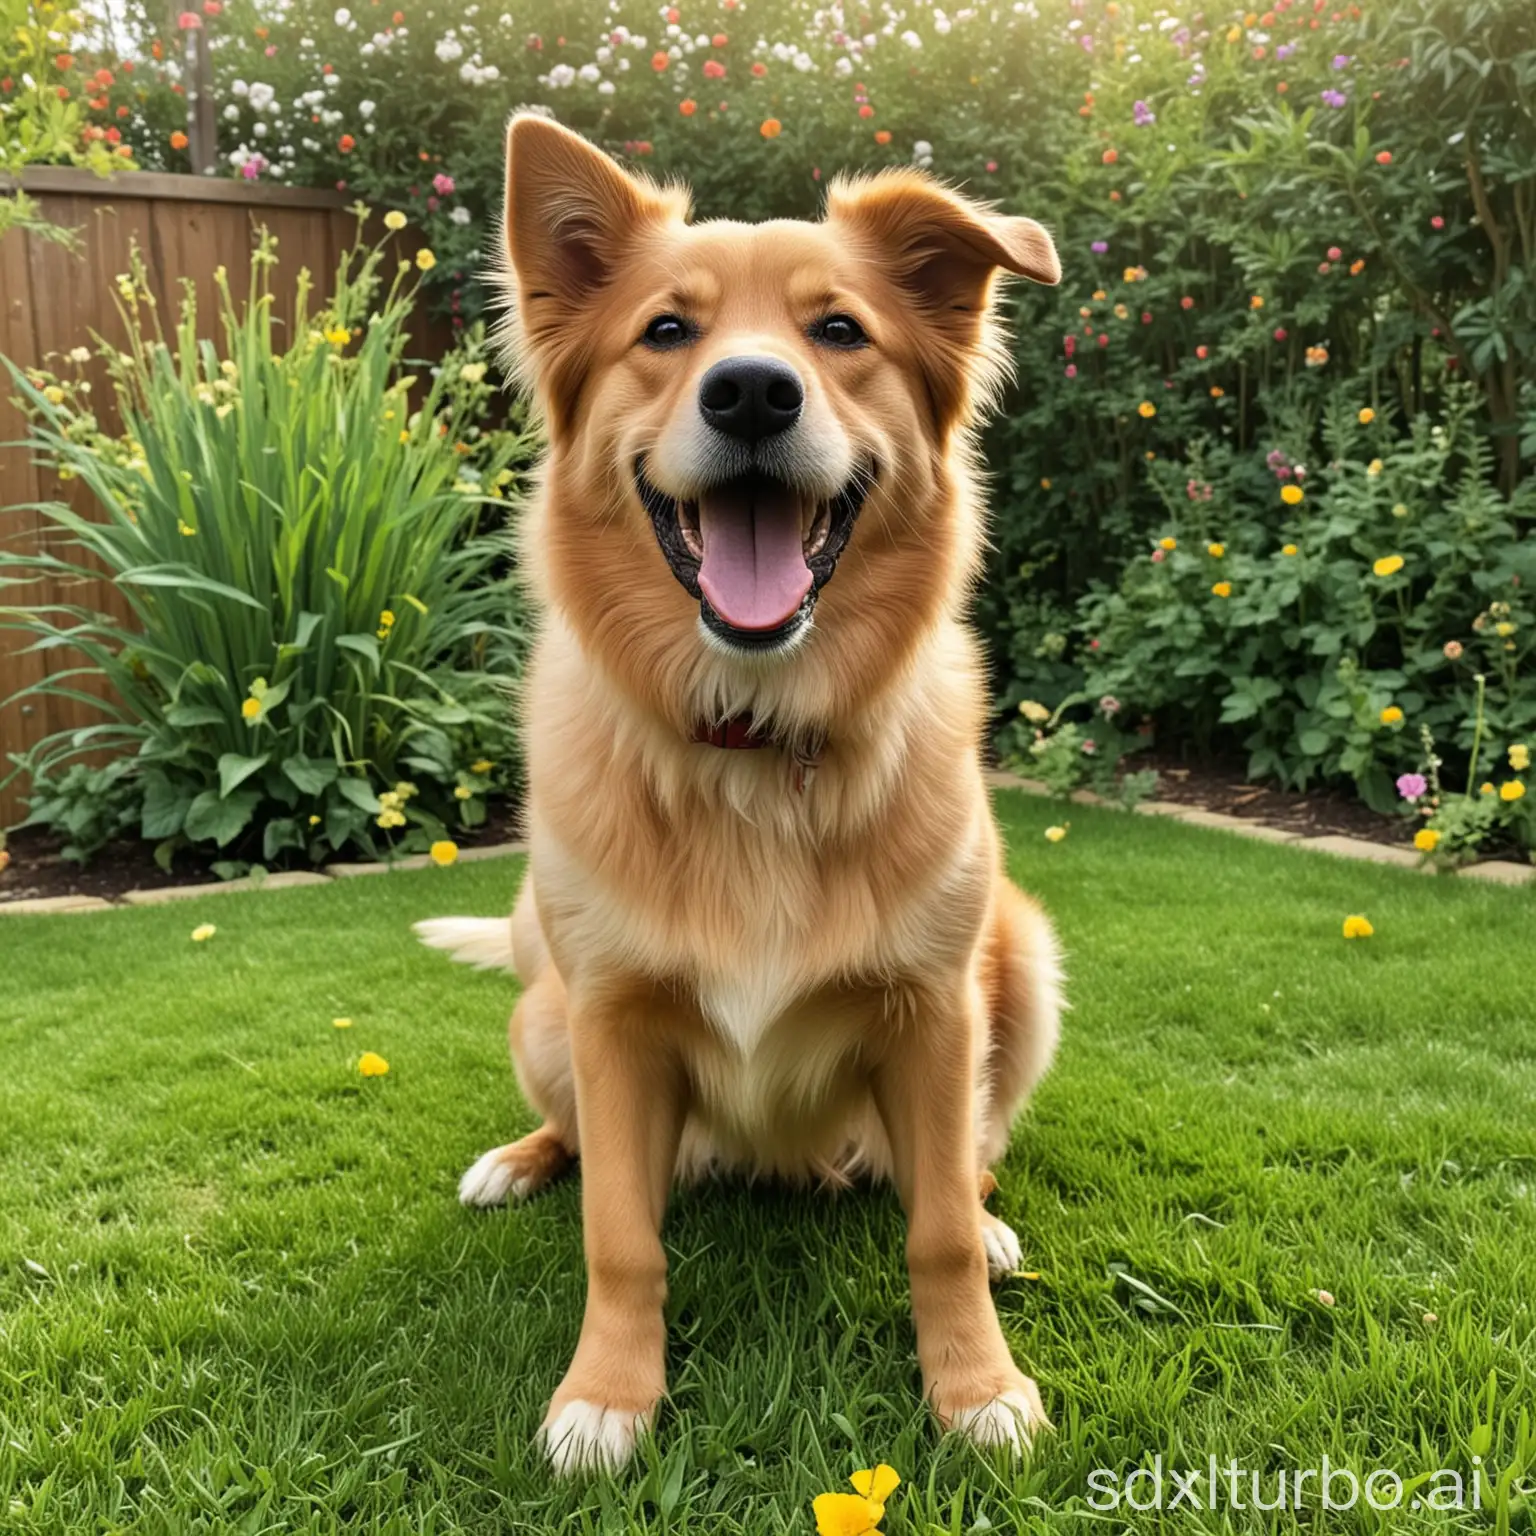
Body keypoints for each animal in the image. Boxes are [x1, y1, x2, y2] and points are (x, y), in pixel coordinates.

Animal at [420, 108, 1069, 1474]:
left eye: (841, 332)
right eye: (668, 332)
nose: (755, 391)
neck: (757, 743)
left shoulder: (938, 1013)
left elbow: (933, 1229)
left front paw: (975, 1384)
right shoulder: (610, 1022)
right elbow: (620, 1238)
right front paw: (607, 1397)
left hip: (1021, 966)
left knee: (962, 1170)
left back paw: (990, 1220)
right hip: (544, 1015)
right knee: (580, 1146)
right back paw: (518, 1160)